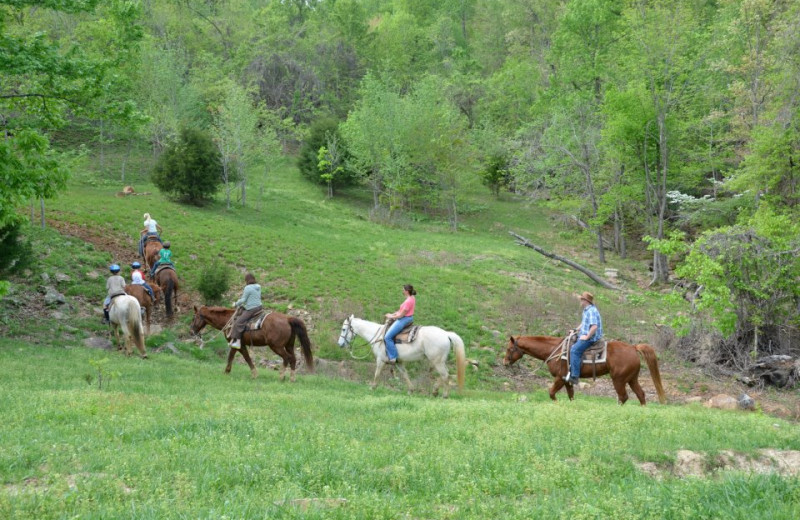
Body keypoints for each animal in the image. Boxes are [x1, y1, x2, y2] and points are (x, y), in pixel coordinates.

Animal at [340, 314, 468, 396]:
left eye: (344, 329)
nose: (340, 343)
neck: (378, 336)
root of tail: (446, 334)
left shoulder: (380, 360)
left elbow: (377, 374)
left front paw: (372, 387)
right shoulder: (399, 362)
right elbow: (405, 375)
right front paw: (411, 390)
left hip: (437, 361)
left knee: (445, 375)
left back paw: (444, 394)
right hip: (440, 361)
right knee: (446, 374)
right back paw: (435, 391)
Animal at [504, 338, 664, 406]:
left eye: (509, 349)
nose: (505, 362)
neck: (554, 350)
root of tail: (633, 347)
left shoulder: (560, 378)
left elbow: (551, 393)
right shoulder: (567, 380)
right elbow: (571, 396)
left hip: (618, 380)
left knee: (623, 397)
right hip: (632, 379)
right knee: (641, 395)